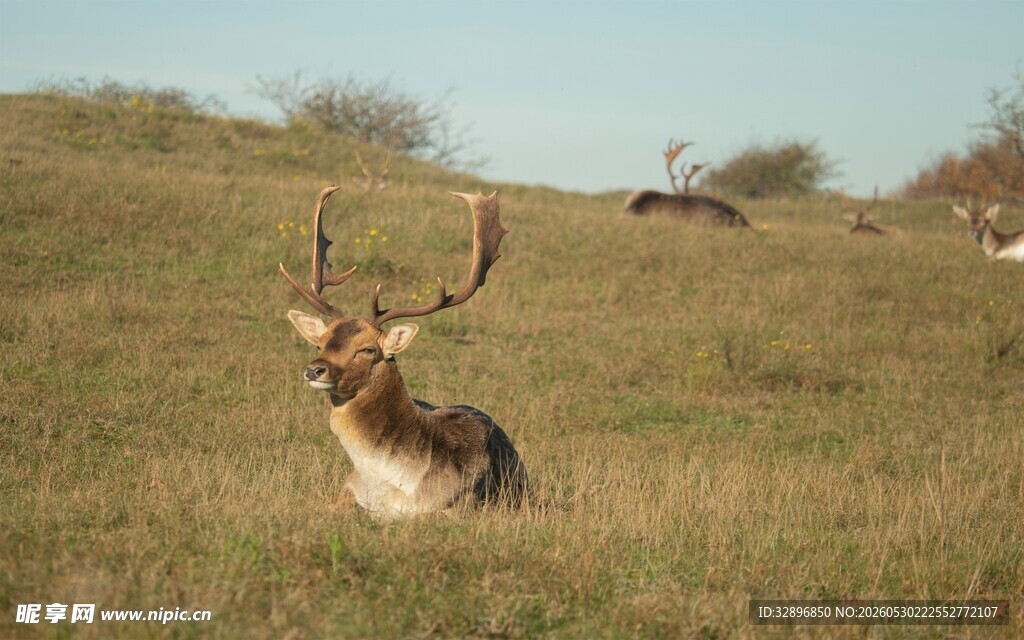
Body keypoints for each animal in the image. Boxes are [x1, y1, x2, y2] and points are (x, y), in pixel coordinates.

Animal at [280, 186, 527, 518]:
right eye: (321, 342)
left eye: (367, 349)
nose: (315, 369)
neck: (389, 485)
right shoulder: (346, 488)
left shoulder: (459, 506)